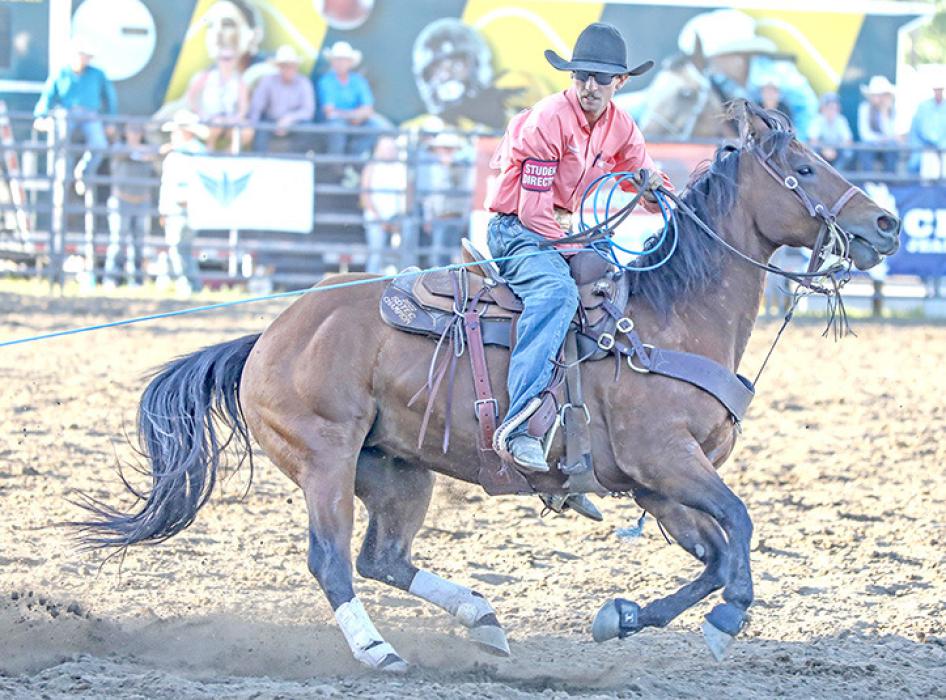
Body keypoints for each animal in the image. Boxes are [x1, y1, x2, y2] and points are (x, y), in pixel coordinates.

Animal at [78, 102, 900, 672]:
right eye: (803, 168)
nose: (888, 223)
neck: (669, 317)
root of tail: (266, 339)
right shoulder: (668, 463)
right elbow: (742, 532)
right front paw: (724, 624)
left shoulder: (657, 485)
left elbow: (716, 554)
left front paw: (624, 617)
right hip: (325, 457)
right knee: (333, 560)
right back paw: (380, 652)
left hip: (396, 468)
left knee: (382, 557)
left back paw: (482, 618)